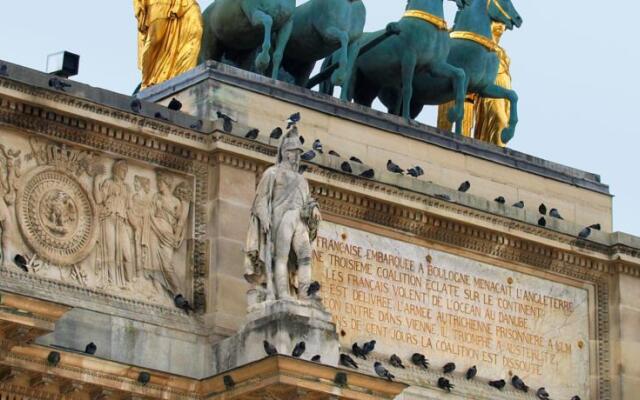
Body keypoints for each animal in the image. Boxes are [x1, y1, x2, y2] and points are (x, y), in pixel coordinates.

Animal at [340, 0, 470, 123]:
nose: (465, 3)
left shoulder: (435, 66)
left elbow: (460, 73)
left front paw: (455, 114)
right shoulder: (409, 60)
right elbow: (408, 90)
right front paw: (407, 118)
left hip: (370, 83)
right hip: (355, 71)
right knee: (348, 86)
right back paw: (344, 101)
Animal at [382, 0, 524, 142]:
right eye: (505, 0)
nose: (519, 19)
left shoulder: (484, 88)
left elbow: (512, 95)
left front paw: (506, 134)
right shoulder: (464, 82)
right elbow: (460, 109)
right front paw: (454, 121)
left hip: (415, 103)